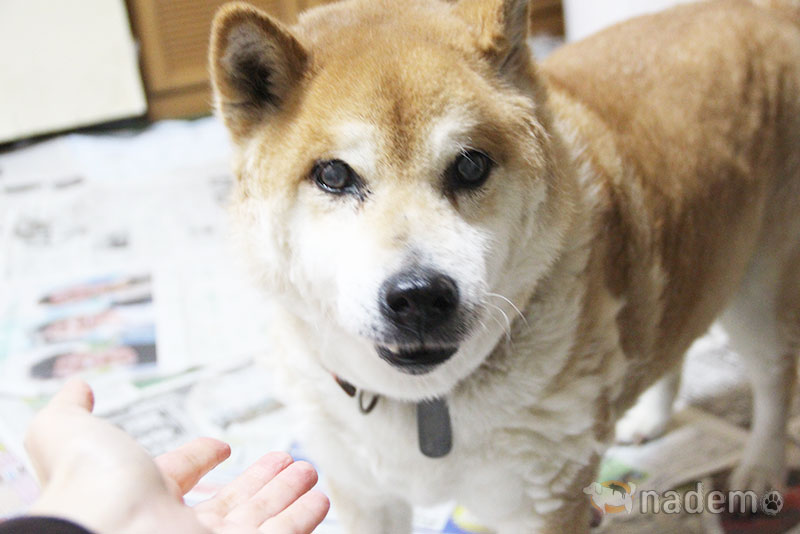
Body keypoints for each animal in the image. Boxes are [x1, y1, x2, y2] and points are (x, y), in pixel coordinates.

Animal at [209, 1, 800, 532]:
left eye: (470, 166)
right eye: (333, 175)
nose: (419, 295)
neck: (427, 405)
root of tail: (761, 11)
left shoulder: (540, 502)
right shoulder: (362, 494)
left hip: (759, 294)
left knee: (774, 380)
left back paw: (759, 473)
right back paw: (649, 419)